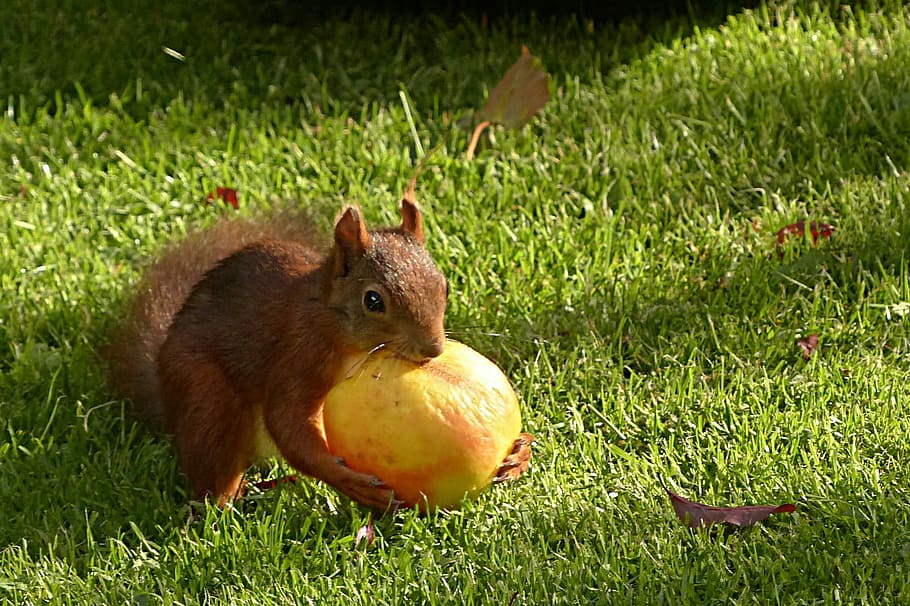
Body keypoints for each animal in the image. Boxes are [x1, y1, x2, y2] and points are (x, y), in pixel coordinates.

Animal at [107, 197, 532, 509]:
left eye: (443, 286)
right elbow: (288, 422)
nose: (432, 349)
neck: (334, 322)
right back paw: (228, 504)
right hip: (205, 394)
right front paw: (348, 481)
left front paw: (519, 454)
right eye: (373, 301)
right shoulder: (300, 352)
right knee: (213, 460)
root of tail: (164, 386)